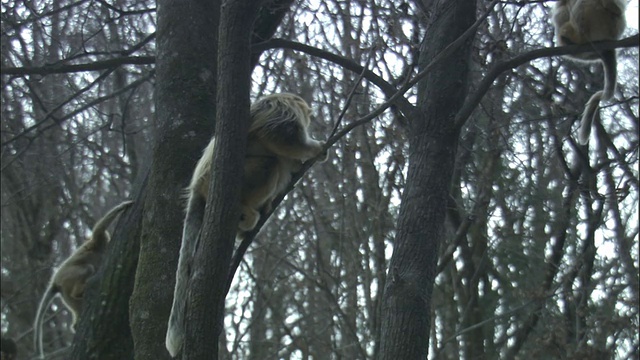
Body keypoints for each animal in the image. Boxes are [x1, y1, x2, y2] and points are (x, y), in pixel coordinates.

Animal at [33, 200, 133, 358]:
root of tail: (56, 282)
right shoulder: (100, 241)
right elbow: (98, 231)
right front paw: (123, 206)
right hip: (68, 277)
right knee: (87, 268)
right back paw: (80, 290)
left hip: (65, 293)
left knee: (77, 305)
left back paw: (76, 321)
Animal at [166, 93, 324, 358]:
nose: (311, 114)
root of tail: (198, 188)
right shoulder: (279, 110)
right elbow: (278, 137)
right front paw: (317, 148)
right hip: (243, 175)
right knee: (271, 163)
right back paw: (246, 213)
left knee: (280, 165)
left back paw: (250, 222)